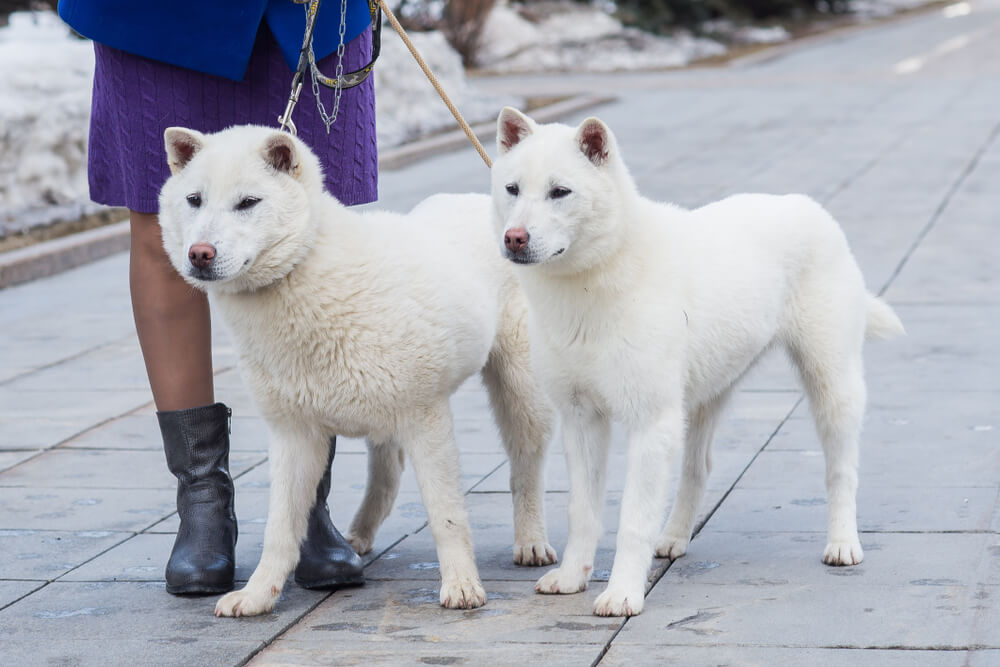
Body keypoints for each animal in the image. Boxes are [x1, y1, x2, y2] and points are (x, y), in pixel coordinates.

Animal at [160, 124, 560, 616]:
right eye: (194, 199)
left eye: (248, 202)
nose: (199, 254)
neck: (308, 270)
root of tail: (499, 210)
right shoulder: (295, 434)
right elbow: (280, 528)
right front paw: (258, 594)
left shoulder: (427, 419)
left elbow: (445, 515)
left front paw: (462, 586)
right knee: (387, 473)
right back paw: (358, 536)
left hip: (519, 390)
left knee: (525, 466)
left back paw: (530, 542)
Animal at [492, 108, 908, 616]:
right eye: (512, 189)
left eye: (560, 192)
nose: (514, 238)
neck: (593, 280)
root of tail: (809, 206)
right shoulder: (580, 419)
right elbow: (582, 512)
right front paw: (574, 577)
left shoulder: (650, 421)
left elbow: (633, 519)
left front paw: (623, 592)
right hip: (705, 395)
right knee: (698, 468)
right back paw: (673, 538)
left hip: (832, 384)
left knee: (841, 469)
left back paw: (843, 543)